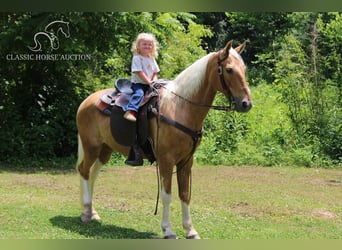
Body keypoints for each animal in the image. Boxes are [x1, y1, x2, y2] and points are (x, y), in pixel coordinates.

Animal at [76, 40, 252, 239]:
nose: (246, 103)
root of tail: (86, 101)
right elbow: (167, 195)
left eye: (243, 69)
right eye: (229, 70)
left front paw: (190, 230)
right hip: (91, 146)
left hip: (105, 149)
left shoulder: (186, 162)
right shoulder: (166, 160)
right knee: (83, 170)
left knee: (93, 173)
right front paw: (168, 230)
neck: (180, 108)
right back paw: (85, 213)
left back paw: (92, 212)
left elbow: (185, 194)